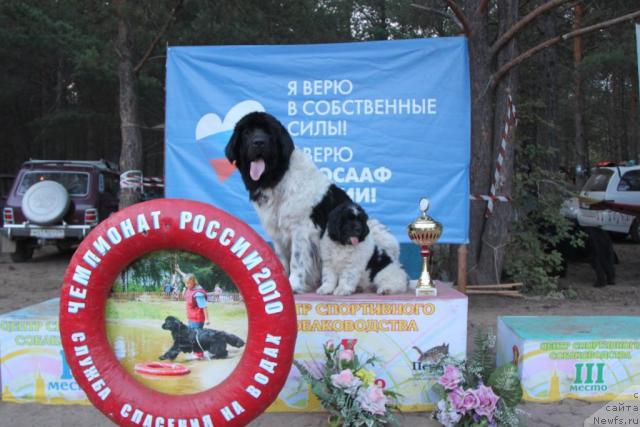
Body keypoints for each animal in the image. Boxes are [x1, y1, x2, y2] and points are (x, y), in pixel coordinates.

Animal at [226, 112, 400, 294]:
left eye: (269, 133)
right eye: (247, 132)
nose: (258, 142)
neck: (278, 178)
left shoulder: (300, 229)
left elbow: (296, 261)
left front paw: (293, 284)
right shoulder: (277, 232)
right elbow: (281, 260)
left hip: (379, 238)